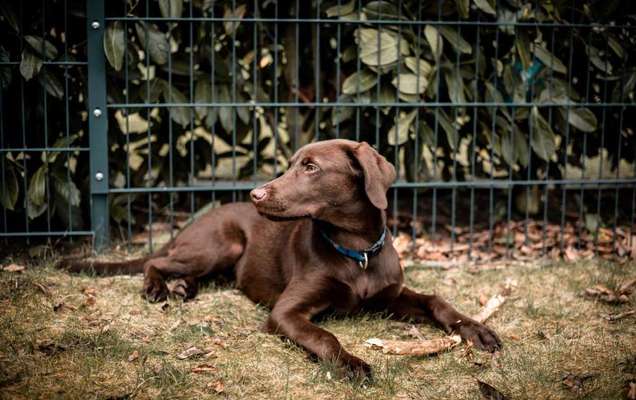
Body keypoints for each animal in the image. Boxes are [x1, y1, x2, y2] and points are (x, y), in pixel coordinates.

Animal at [63, 139, 502, 376]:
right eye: (292, 165)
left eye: (310, 167)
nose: (256, 194)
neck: (356, 251)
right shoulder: (287, 312)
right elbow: (323, 336)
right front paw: (351, 363)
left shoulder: (389, 295)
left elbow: (436, 301)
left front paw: (476, 330)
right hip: (218, 246)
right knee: (154, 262)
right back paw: (158, 288)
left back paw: (184, 289)